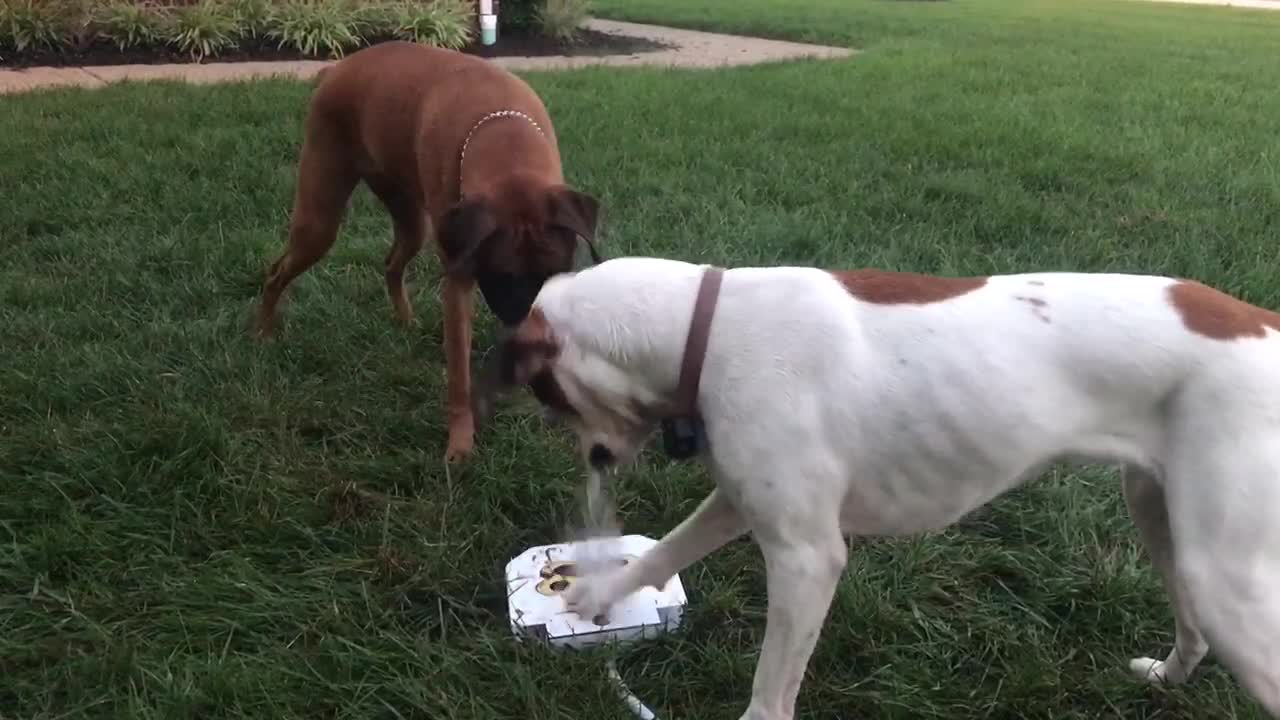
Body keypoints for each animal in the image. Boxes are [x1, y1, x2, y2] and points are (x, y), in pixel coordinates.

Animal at [258, 41, 604, 461]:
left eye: (554, 277)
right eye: (501, 277)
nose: (525, 327)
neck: (505, 140)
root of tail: (336, 70)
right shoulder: (459, 280)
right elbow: (458, 374)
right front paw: (460, 444)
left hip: (413, 222)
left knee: (391, 264)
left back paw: (405, 321)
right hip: (319, 220)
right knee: (276, 271)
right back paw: (264, 334)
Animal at [488, 254, 1280, 712]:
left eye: (547, 395)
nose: (595, 462)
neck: (702, 330)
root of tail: (1265, 323)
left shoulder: (807, 560)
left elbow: (770, 689)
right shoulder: (743, 502)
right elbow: (662, 552)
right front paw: (595, 594)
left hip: (1227, 579)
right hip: (1163, 519)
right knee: (1191, 627)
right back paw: (1167, 678)